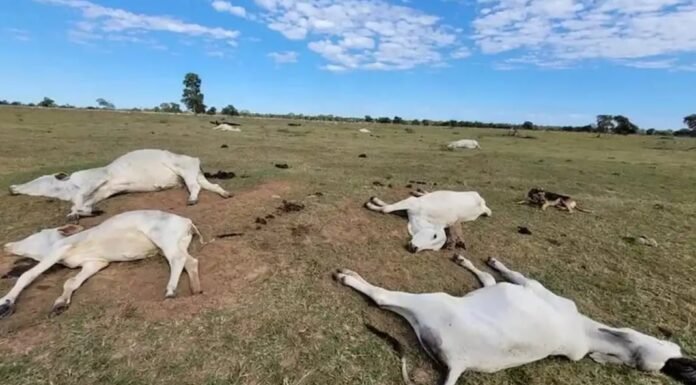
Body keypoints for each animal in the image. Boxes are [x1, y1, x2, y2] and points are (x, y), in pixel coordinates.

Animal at [0, 208, 204, 316]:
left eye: (36, 234)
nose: (7, 245)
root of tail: (187, 221)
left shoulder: (60, 249)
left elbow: (28, 274)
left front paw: (5, 303)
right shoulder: (95, 262)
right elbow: (71, 282)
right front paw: (60, 303)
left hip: (163, 239)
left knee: (178, 260)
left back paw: (171, 291)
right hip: (176, 244)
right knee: (191, 261)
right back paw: (196, 288)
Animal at [7, 148, 231, 218]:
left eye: (39, 180)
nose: (12, 188)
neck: (69, 187)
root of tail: (195, 159)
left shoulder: (97, 179)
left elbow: (79, 200)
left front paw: (74, 213)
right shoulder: (103, 191)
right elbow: (85, 204)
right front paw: (87, 212)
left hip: (185, 171)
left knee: (195, 187)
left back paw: (192, 200)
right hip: (194, 174)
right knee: (211, 186)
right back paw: (225, 194)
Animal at [334, 255, 692, 384]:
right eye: (667, 346)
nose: (685, 362)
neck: (586, 332)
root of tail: (460, 363)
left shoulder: (531, 286)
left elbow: (505, 274)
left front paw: (490, 260)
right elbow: (487, 278)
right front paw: (467, 259)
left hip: (431, 302)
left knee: (383, 297)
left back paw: (348, 276)